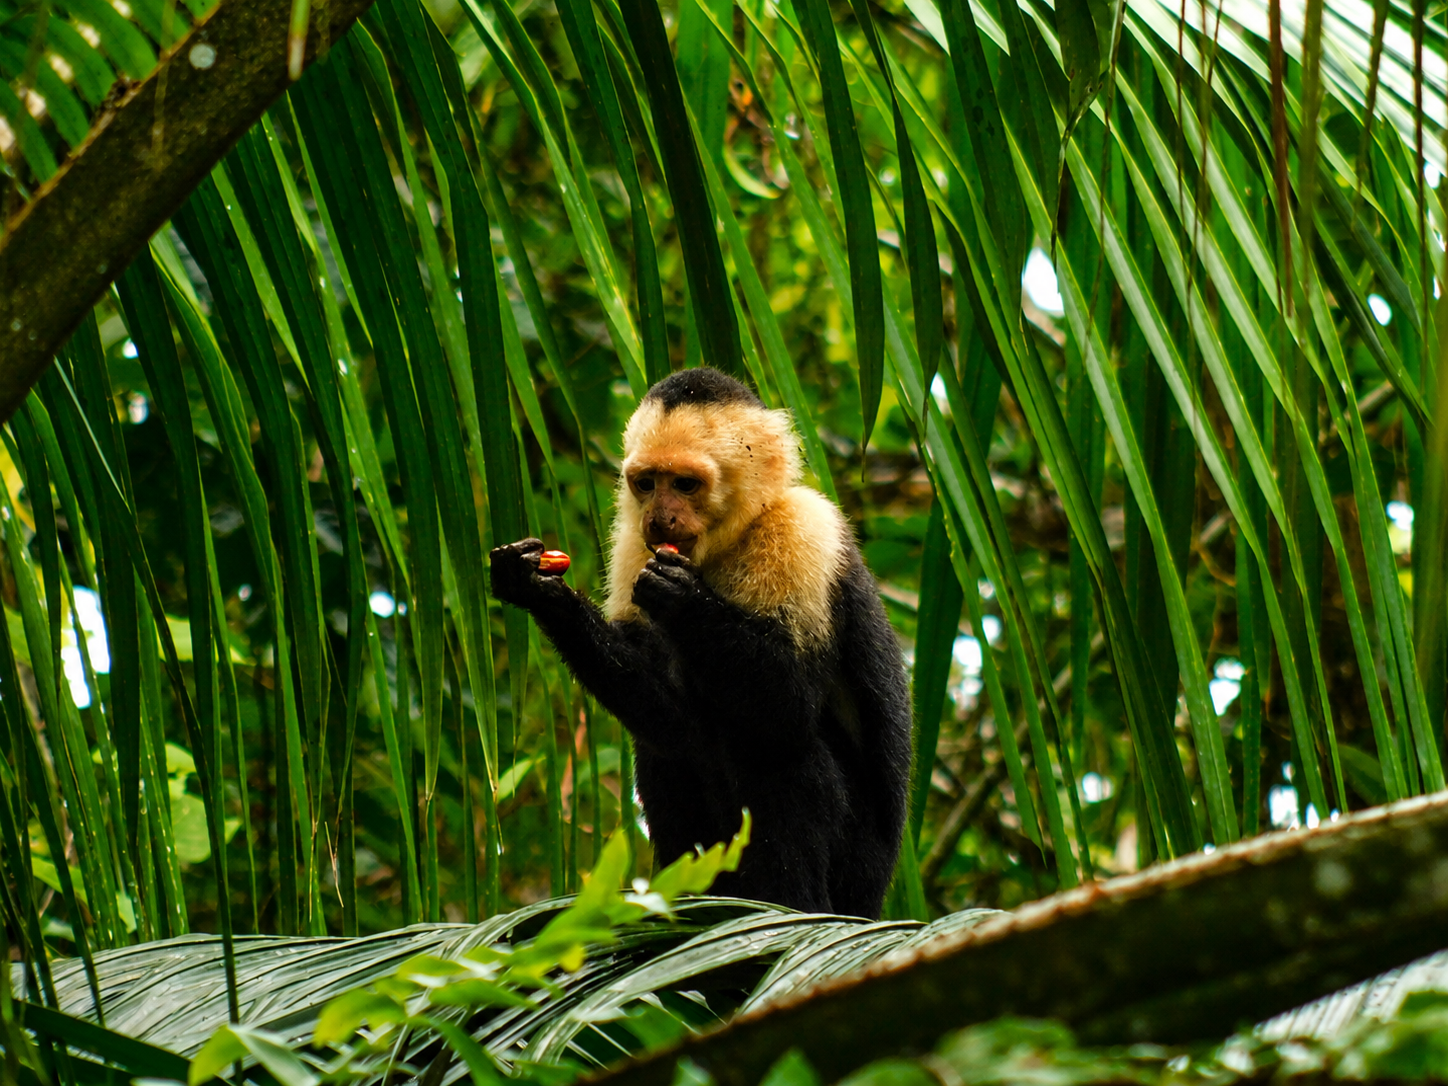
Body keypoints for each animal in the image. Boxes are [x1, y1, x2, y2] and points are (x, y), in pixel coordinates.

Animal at [489, 368, 911, 918]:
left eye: (685, 485)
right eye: (647, 483)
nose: (658, 518)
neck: (731, 538)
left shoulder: (801, 532)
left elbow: (789, 705)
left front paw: (681, 597)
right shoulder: (631, 543)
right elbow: (668, 720)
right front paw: (541, 590)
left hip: (859, 871)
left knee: (777, 749)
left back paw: (791, 905)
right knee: (668, 750)